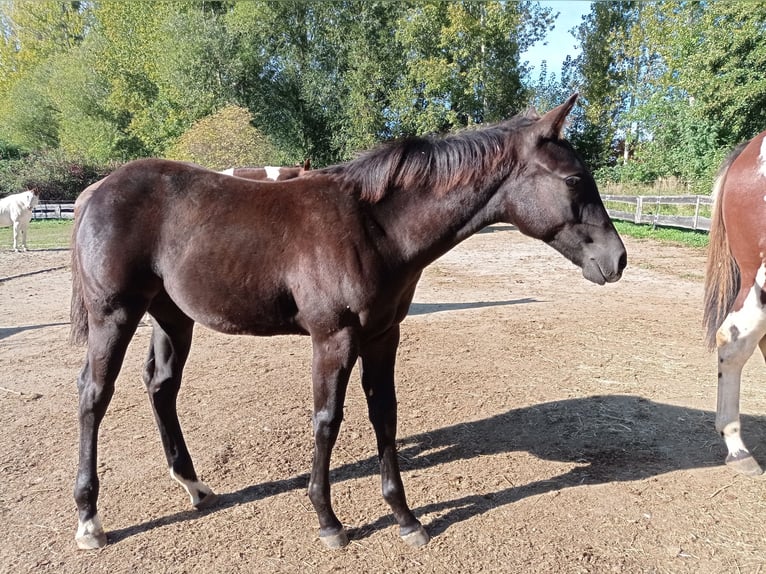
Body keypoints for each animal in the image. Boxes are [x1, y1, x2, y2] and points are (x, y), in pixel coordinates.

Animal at [69, 94, 626, 551]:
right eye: (574, 179)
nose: (617, 259)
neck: (374, 228)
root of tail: (94, 191)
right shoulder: (332, 339)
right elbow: (327, 421)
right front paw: (329, 522)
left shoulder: (382, 336)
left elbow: (385, 414)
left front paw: (405, 517)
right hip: (114, 315)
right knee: (94, 394)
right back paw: (90, 521)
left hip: (172, 316)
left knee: (161, 386)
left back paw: (194, 486)